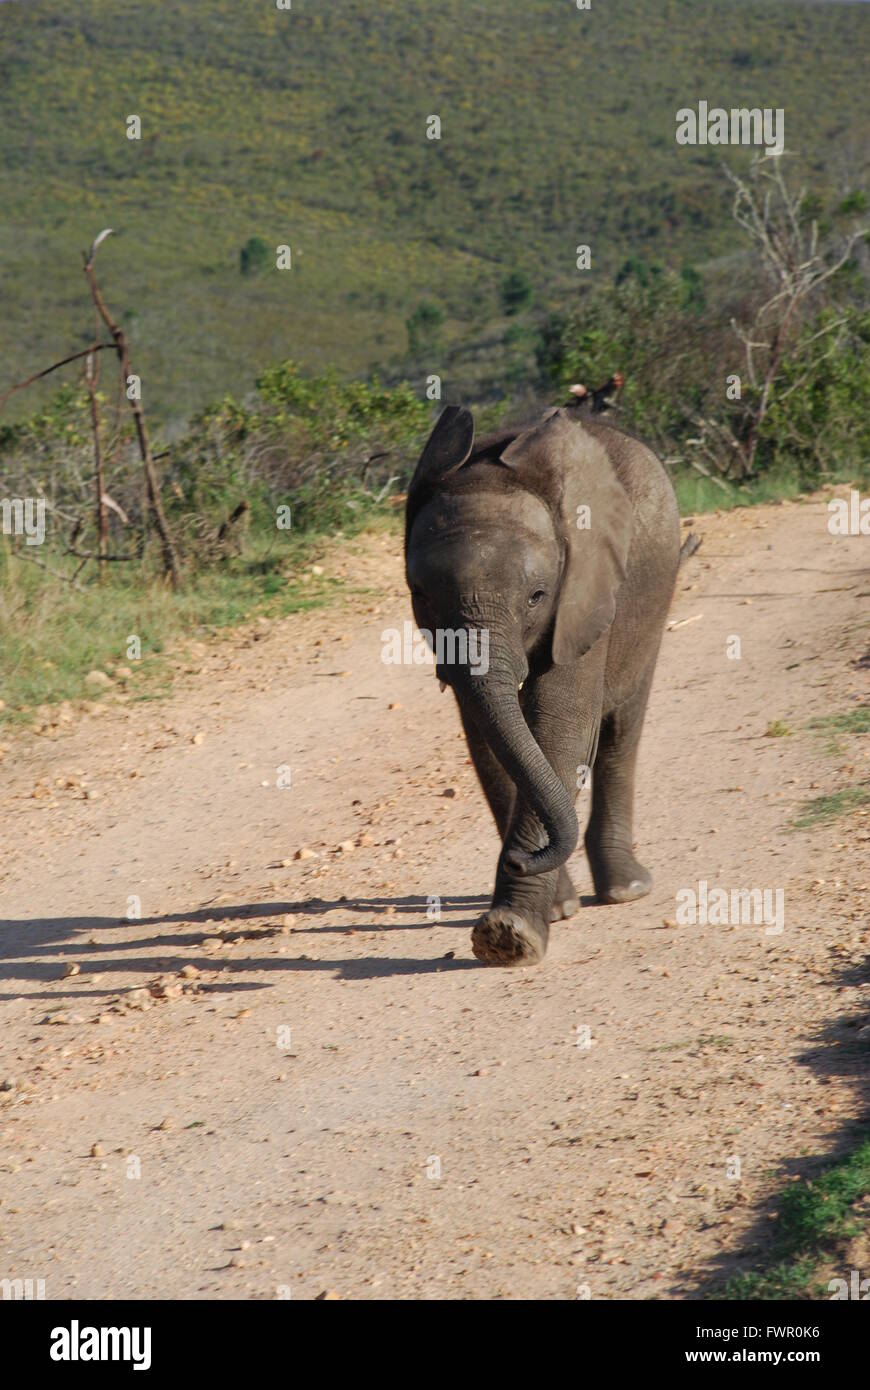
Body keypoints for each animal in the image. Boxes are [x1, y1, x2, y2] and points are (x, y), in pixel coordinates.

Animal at [403, 403, 680, 967]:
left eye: (536, 595)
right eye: (421, 596)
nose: (516, 859)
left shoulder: (586, 592)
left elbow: (558, 727)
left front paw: (511, 937)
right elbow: (489, 737)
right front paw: (548, 913)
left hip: (653, 597)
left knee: (621, 732)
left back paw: (627, 891)